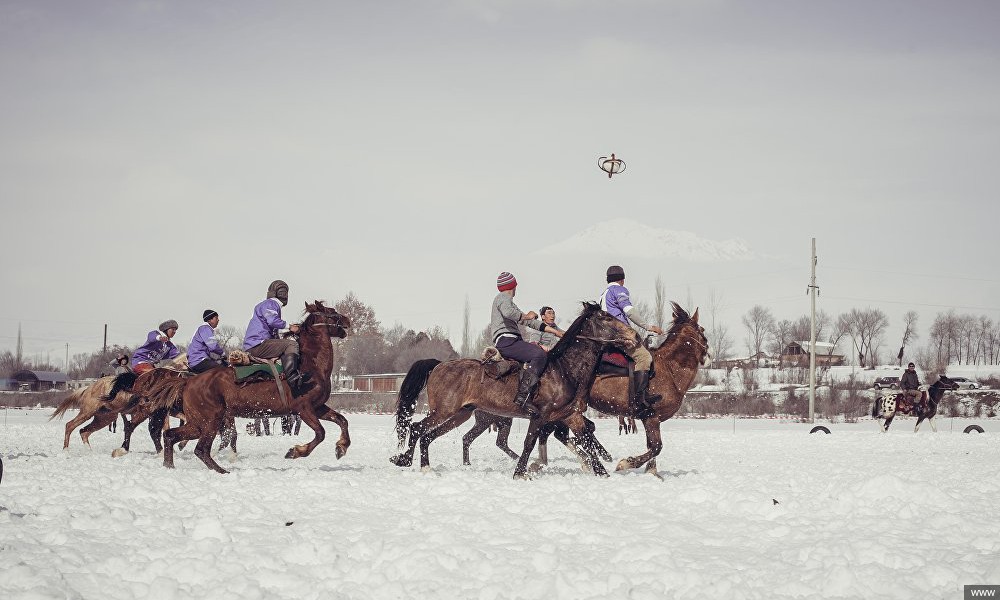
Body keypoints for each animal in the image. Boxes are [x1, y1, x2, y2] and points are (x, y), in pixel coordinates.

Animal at [161, 302, 352, 476]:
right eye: (331, 311)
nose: (347, 320)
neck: (310, 367)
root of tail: (189, 381)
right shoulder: (304, 409)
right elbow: (320, 433)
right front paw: (296, 451)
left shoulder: (317, 407)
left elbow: (342, 420)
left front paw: (341, 447)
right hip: (210, 421)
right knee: (201, 449)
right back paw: (222, 471)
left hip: (198, 423)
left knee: (171, 435)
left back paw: (169, 466)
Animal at [386, 302, 636, 480]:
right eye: (606, 317)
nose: (633, 335)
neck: (563, 369)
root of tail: (439, 364)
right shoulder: (540, 416)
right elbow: (530, 443)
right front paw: (520, 473)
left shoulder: (569, 415)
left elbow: (586, 439)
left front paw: (602, 471)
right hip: (444, 411)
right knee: (417, 428)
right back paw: (413, 463)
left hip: (460, 414)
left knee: (428, 435)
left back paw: (419, 465)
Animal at [536, 302, 708, 480]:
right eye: (702, 330)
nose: (707, 353)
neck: (669, 368)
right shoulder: (651, 417)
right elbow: (656, 447)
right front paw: (626, 463)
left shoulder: (651, 419)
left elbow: (651, 446)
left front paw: (652, 472)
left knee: (557, 433)